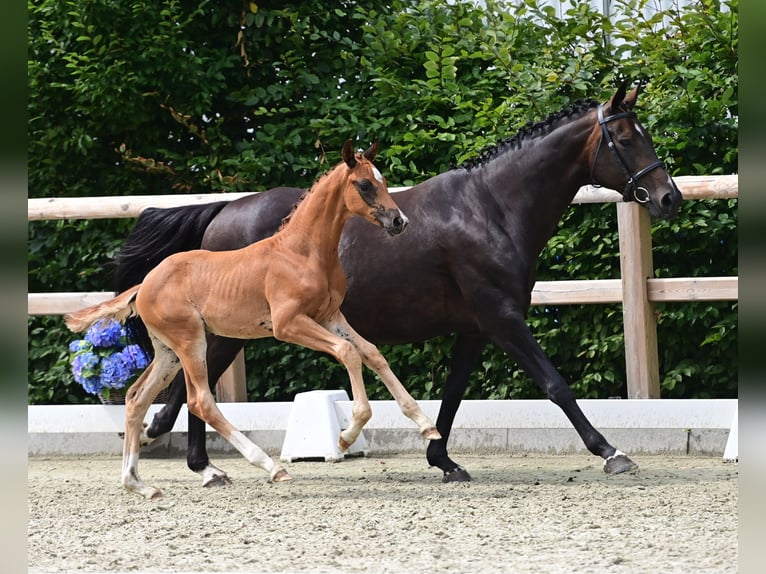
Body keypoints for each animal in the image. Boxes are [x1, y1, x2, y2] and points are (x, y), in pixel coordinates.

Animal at [69, 142, 440, 502]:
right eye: (364, 184)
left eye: (383, 181)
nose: (399, 221)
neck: (302, 252)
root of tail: (144, 285)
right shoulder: (288, 324)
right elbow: (348, 352)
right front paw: (347, 434)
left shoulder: (330, 316)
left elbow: (371, 352)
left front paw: (426, 425)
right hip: (191, 342)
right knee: (201, 400)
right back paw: (266, 466)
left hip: (168, 352)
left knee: (136, 397)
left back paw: (138, 484)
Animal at [112, 84, 680, 486]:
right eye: (626, 138)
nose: (667, 197)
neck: (491, 207)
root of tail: (222, 212)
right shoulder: (502, 319)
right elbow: (556, 385)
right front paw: (611, 452)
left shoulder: (475, 328)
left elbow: (452, 396)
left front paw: (442, 457)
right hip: (229, 332)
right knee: (194, 390)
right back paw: (203, 465)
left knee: (189, 390)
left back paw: (201, 463)